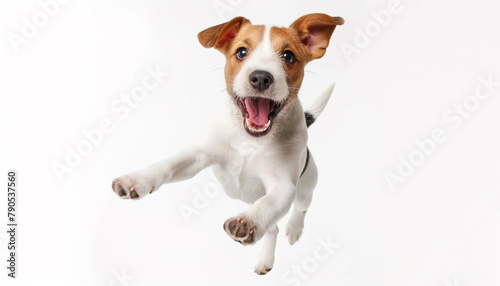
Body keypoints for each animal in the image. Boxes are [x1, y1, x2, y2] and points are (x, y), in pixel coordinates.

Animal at [112, 13, 344, 274]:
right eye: (242, 52)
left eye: (288, 56)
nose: (261, 77)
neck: (250, 140)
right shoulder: (199, 155)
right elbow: (168, 164)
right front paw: (137, 180)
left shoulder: (283, 185)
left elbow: (267, 203)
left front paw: (248, 221)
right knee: (272, 227)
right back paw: (266, 259)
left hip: (306, 186)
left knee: (300, 208)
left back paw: (294, 228)